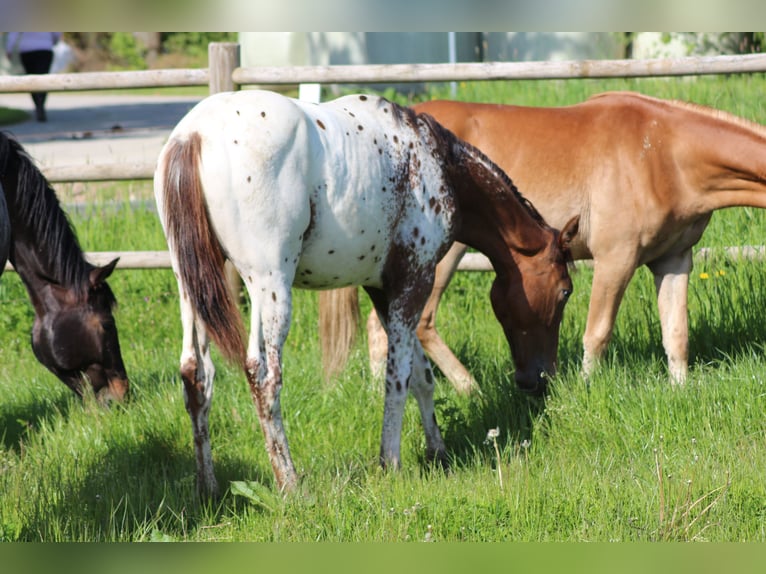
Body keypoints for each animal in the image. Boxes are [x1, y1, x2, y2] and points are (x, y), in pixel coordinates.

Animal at [153, 90, 580, 496]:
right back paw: (290, 484)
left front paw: (437, 451)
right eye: (565, 292)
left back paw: (207, 486)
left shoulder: (382, 287)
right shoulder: (414, 280)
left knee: (195, 374)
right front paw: (390, 462)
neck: (438, 165)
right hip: (269, 286)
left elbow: (422, 373)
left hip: (193, 288)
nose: (539, 379)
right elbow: (399, 375)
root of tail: (193, 135)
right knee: (264, 375)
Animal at [320, 93, 766, 392]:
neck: (663, 154)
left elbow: (676, 335)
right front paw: (585, 388)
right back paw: (468, 388)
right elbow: (597, 333)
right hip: (442, 255)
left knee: (383, 327)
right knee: (421, 321)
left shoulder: (674, 260)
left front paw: (680, 389)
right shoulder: (615, 260)